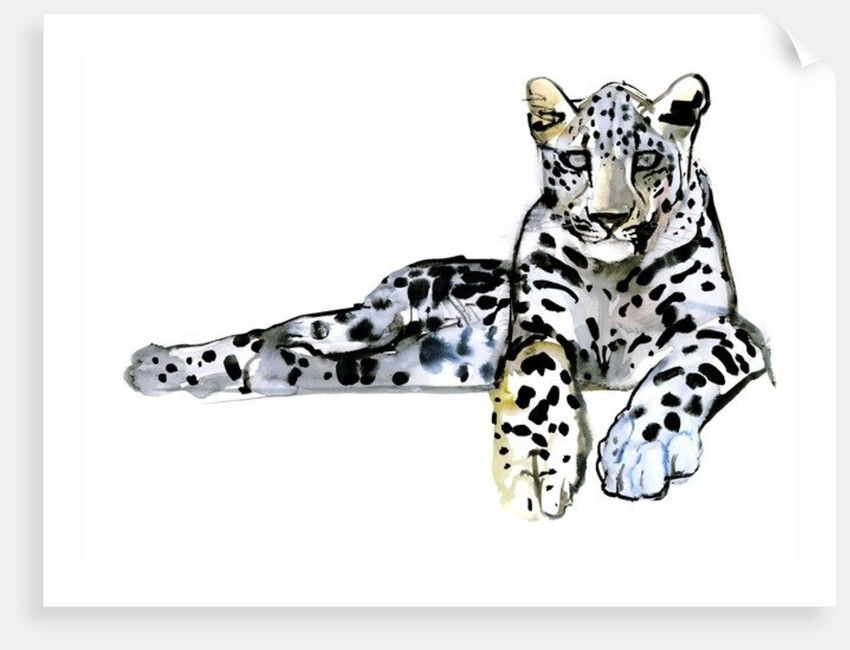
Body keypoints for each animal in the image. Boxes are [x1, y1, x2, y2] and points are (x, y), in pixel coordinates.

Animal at [125, 74, 772, 520]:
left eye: (646, 160)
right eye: (576, 159)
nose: (609, 220)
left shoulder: (725, 331)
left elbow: (677, 374)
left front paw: (637, 451)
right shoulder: (537, 329)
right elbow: (542, 378)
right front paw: (536, 464)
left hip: (392, 367)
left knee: (288, 362)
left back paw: (236, 366)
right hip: (373, 316)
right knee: (270, 335)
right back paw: (163, 362)